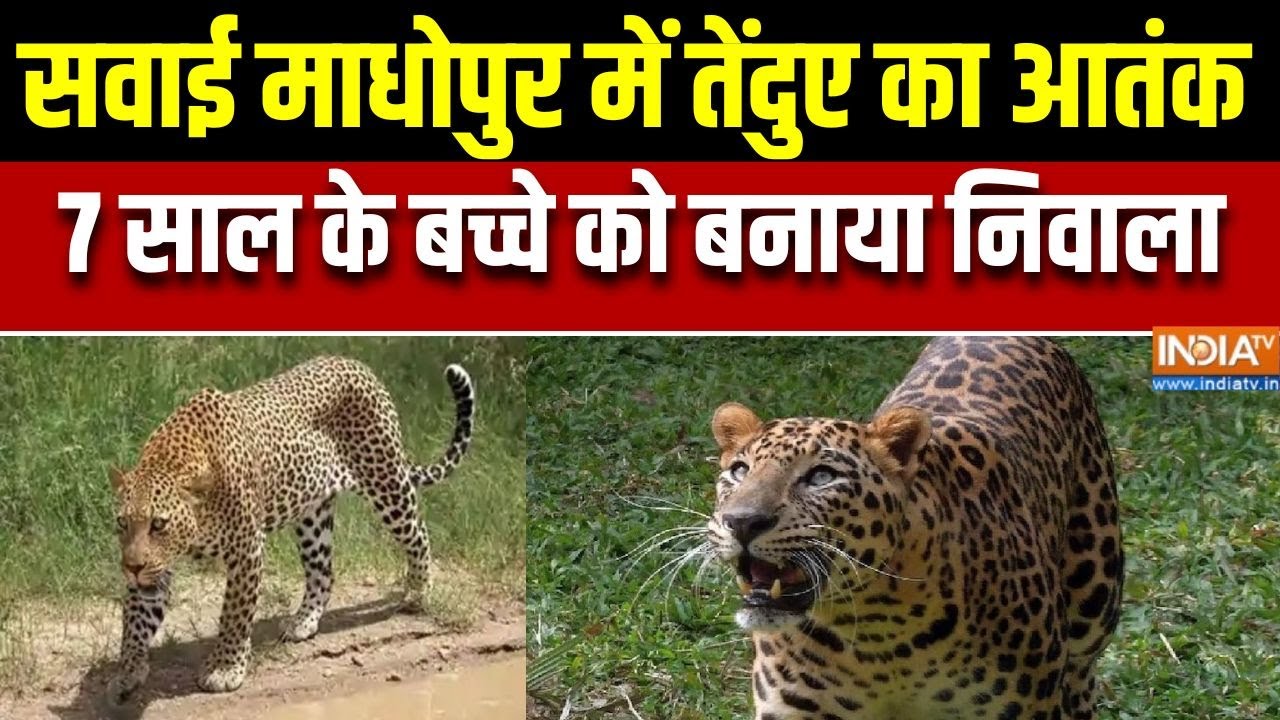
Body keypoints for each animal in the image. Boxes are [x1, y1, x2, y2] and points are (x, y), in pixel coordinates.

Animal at [105, 355, 474, 703]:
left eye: (159, 524)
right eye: (123, 523)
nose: (132, 568)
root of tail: (357, 364)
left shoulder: (246, 549)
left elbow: (235, 613)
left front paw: (225, 668)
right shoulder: (157, 566)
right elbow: (135, 618)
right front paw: (128, 670)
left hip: (386, 481)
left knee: (418, 532)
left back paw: (418, 591)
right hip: (313, 516)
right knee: (323, 572)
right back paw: (303, 622)